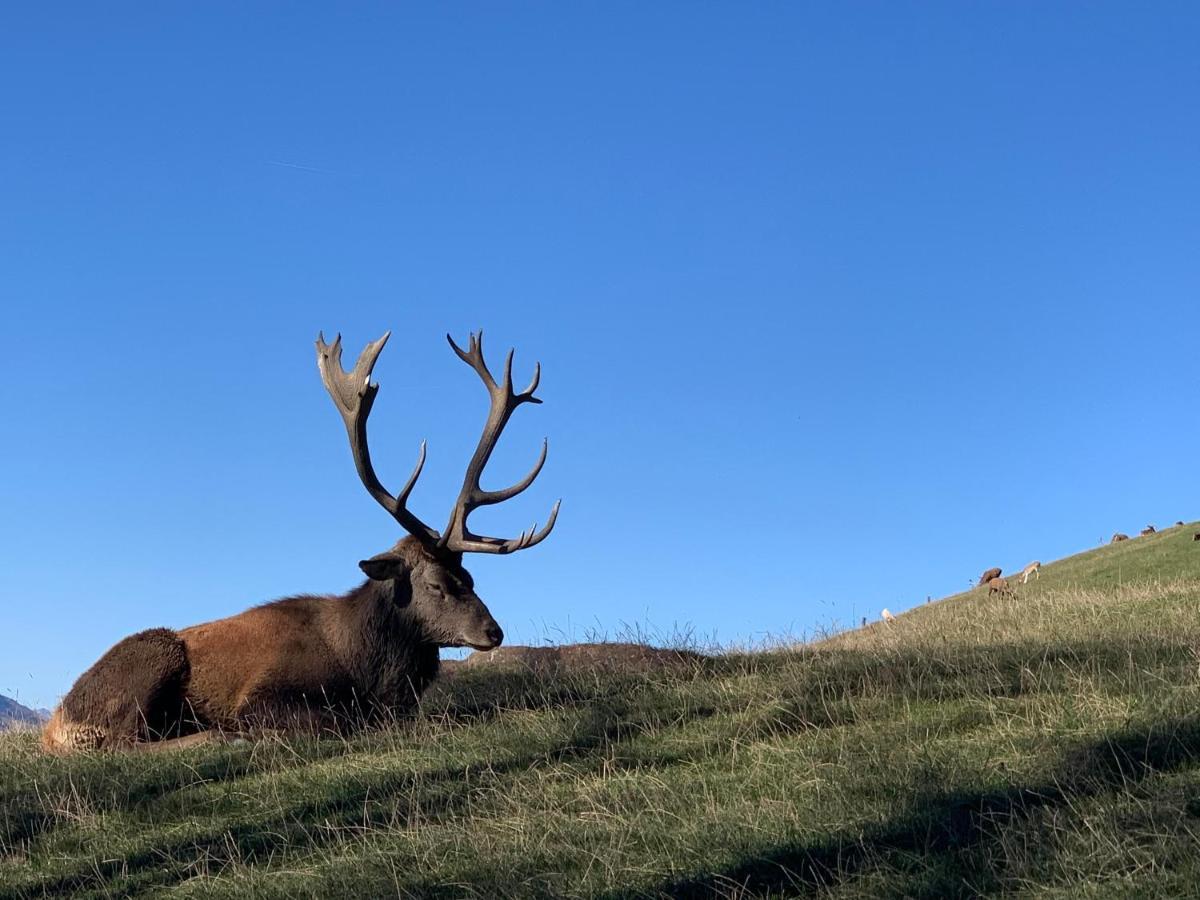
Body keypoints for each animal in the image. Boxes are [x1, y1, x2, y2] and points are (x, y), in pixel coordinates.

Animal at [42, 331, 556, 753]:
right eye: (435, 584)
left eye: (469, 576)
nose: (493, 631)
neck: (366, 666)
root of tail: (56, 725)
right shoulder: (262, 694)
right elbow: (341, 721)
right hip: (153, 658)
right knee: (123, 742)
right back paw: (216, 737)